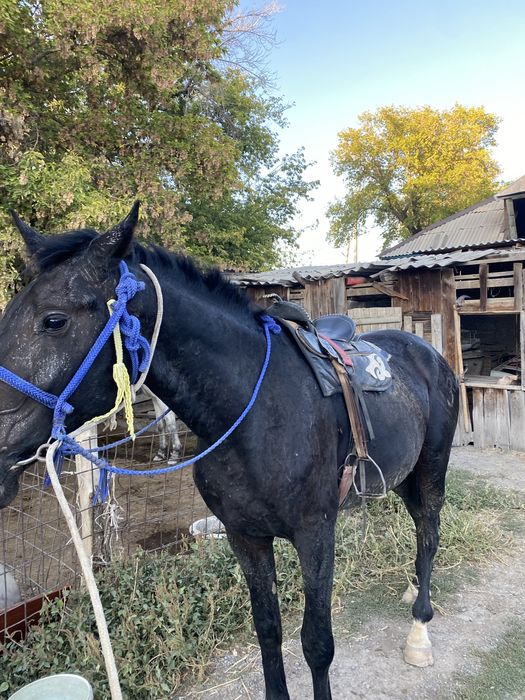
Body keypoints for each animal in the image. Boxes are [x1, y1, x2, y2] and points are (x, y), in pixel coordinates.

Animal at [0, 205, 458, 700]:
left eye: (54, 320)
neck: (255, 412)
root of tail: (427, 350)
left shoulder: (316, 534)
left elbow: (317, 643)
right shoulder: (246, 538)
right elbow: (268, 631)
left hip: (433, 468)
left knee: (429, 531)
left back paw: (420, 628)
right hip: (403, 476)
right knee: (419, 530)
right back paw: (412, 590)